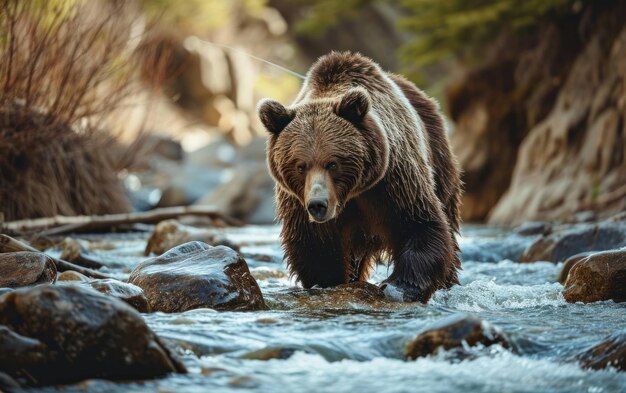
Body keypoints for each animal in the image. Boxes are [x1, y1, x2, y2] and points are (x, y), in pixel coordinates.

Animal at [258, 51, 458, 304]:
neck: (351, 194)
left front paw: (400, 286)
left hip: (438, 156)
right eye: (301, 166)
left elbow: (419, 223)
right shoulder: (297, 201)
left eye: (333, 163)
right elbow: (314, 246)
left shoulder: (392, 180)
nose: (318, 205)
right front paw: (329, 282)